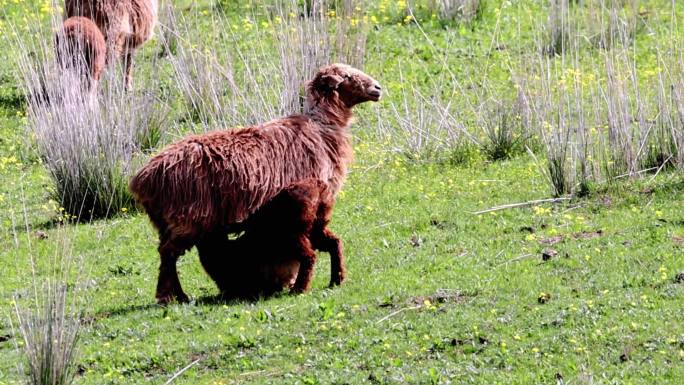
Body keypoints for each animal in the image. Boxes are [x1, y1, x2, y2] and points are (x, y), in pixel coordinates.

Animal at [198, 178, 344, 298]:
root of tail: (318, 186)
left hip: (294, 234)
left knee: (309, 256)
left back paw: (298, 290)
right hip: (316, 227)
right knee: (335, 243)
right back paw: (336, 280)